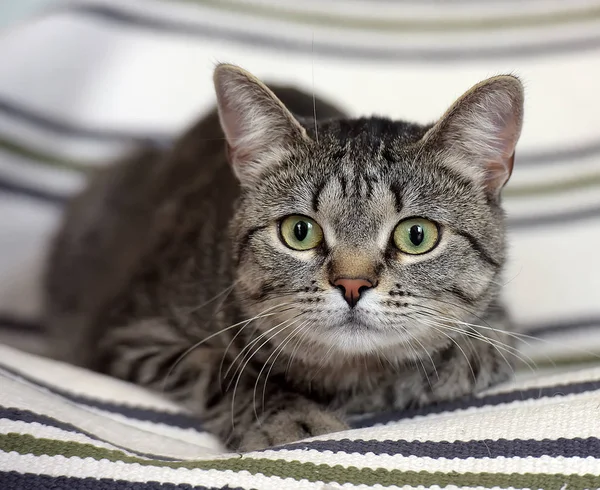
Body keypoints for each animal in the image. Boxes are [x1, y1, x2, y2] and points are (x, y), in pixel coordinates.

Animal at [44, 64, 524, 452]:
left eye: (417, 235)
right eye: (299, 231)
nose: (352, 284)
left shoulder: (497, 330)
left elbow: (461, 357)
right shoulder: (130, 332)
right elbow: (225, 371)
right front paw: (291, 416)